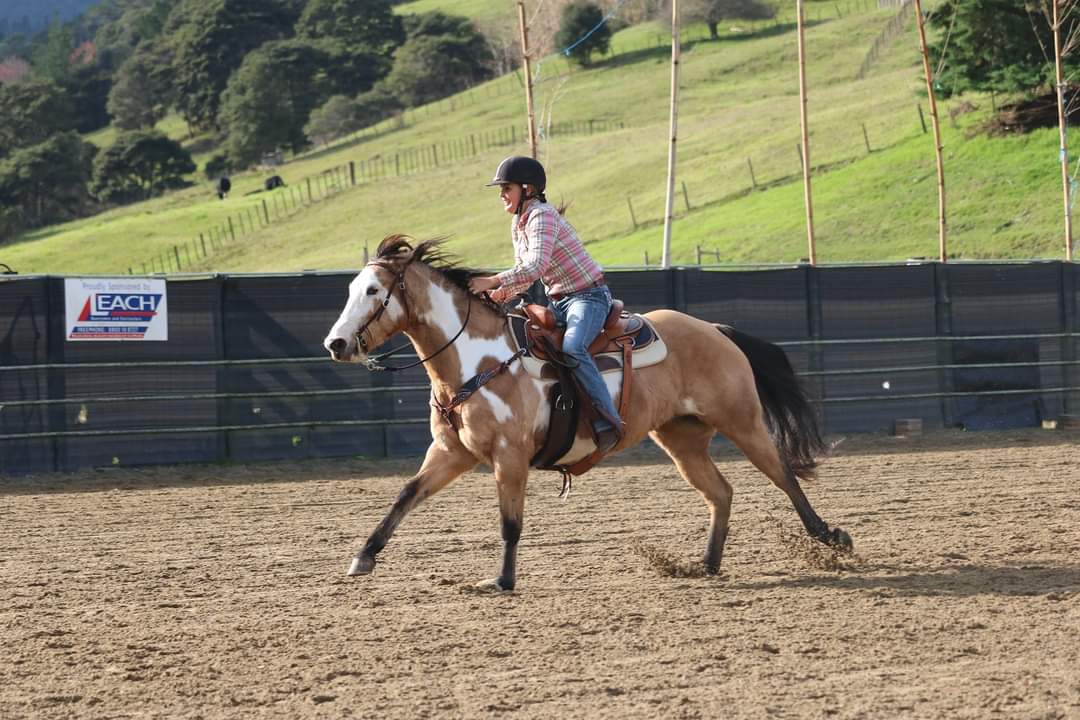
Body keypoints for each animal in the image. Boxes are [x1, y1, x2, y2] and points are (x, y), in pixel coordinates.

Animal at [321, 236, 851, 591]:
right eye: (351, 288)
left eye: (373, 291)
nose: (336, 344)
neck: (477, 360)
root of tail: (716, 329)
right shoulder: (453, 452)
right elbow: (405, 496)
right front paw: (363, 558)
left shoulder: (509, 456)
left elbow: (509, 522)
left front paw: (502, 581)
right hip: (681, 439)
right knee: (720, 492)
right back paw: (705, 564)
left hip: (742, 420)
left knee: (782, 473)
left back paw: (829, 536)